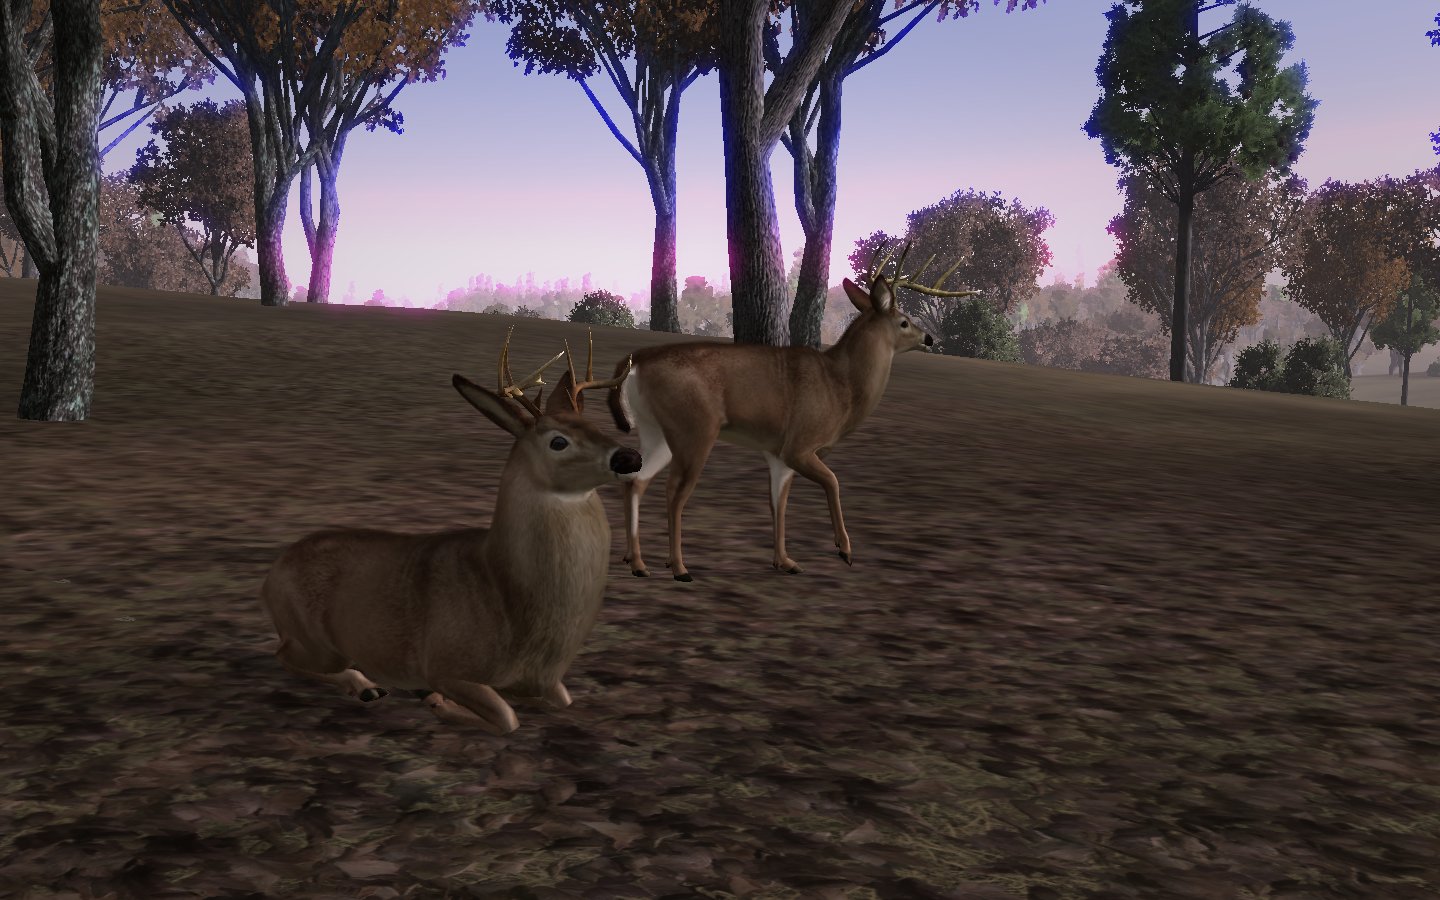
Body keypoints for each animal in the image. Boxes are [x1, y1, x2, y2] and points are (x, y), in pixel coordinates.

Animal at [260, 327, 640, 735]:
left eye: (597, 426)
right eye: (558, 441)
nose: (629, 457)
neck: (505, 594)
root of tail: (272, 574)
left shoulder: (546, 681)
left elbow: (562, 701)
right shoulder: (445, 665)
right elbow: (507, 718)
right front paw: (436, 701)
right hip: (316, 642)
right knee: (282, 655)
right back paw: (365, 686)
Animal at [606, 240, 980, 581]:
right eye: (904, 322)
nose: (929, 339)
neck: (841, 388)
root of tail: (635, 362)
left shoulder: (778, 452)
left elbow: (778, 503)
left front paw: (785, 562)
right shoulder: (799, 444)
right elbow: (833, 481)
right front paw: (844, 549)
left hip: (656, 430)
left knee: (635, 481)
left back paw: (637, 563)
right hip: (694, 427)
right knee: (673, 492)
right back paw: (679, 568)